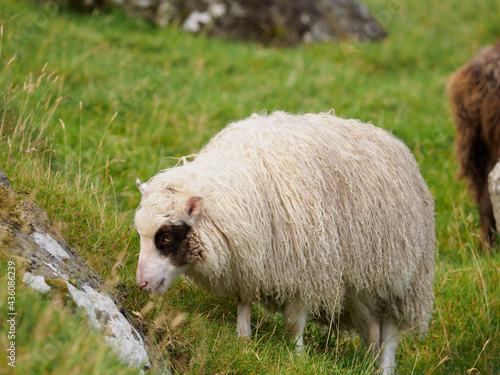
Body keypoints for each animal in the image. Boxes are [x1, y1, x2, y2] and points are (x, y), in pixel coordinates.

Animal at [135, 111, 436, 374]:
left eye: (166, 237)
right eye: (140, 235)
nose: (142, 284)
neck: (237, 194)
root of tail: (390, 138)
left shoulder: (304, 272)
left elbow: (293, 323)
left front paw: (297, 357)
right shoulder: (248, 260)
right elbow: (243, 303)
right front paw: (242, 340)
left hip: (403, 283)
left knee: (391, 335)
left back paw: (385, 368)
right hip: (360, 282)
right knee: (373, 330)